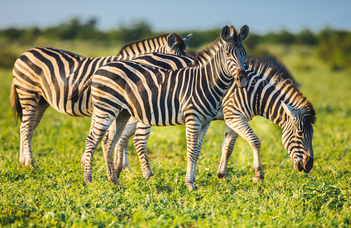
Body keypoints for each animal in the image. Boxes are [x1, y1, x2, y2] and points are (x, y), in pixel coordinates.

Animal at [10, 31, 192, 167]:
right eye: (179, 61)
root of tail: (26, 52)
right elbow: (115, 136)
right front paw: (118, 166)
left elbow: (116, 135)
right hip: (28, 94)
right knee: (26, 127)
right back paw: (30, 163)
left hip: (42, 101)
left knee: (26, 127)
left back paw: (23, 162)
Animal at [79, 24, 250, 190]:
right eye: (228, 54)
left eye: (245, 54)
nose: (242, 78)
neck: (206, 82)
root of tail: (100, 69)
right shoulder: (193, 118)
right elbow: (191, 151)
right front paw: (190, 184)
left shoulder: (205, 122)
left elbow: (197, 152)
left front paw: (193, 183)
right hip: (106, 107)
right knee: (92, 140)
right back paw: (88, 181)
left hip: (122, 112)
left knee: (108, 143)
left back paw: (114, 182)